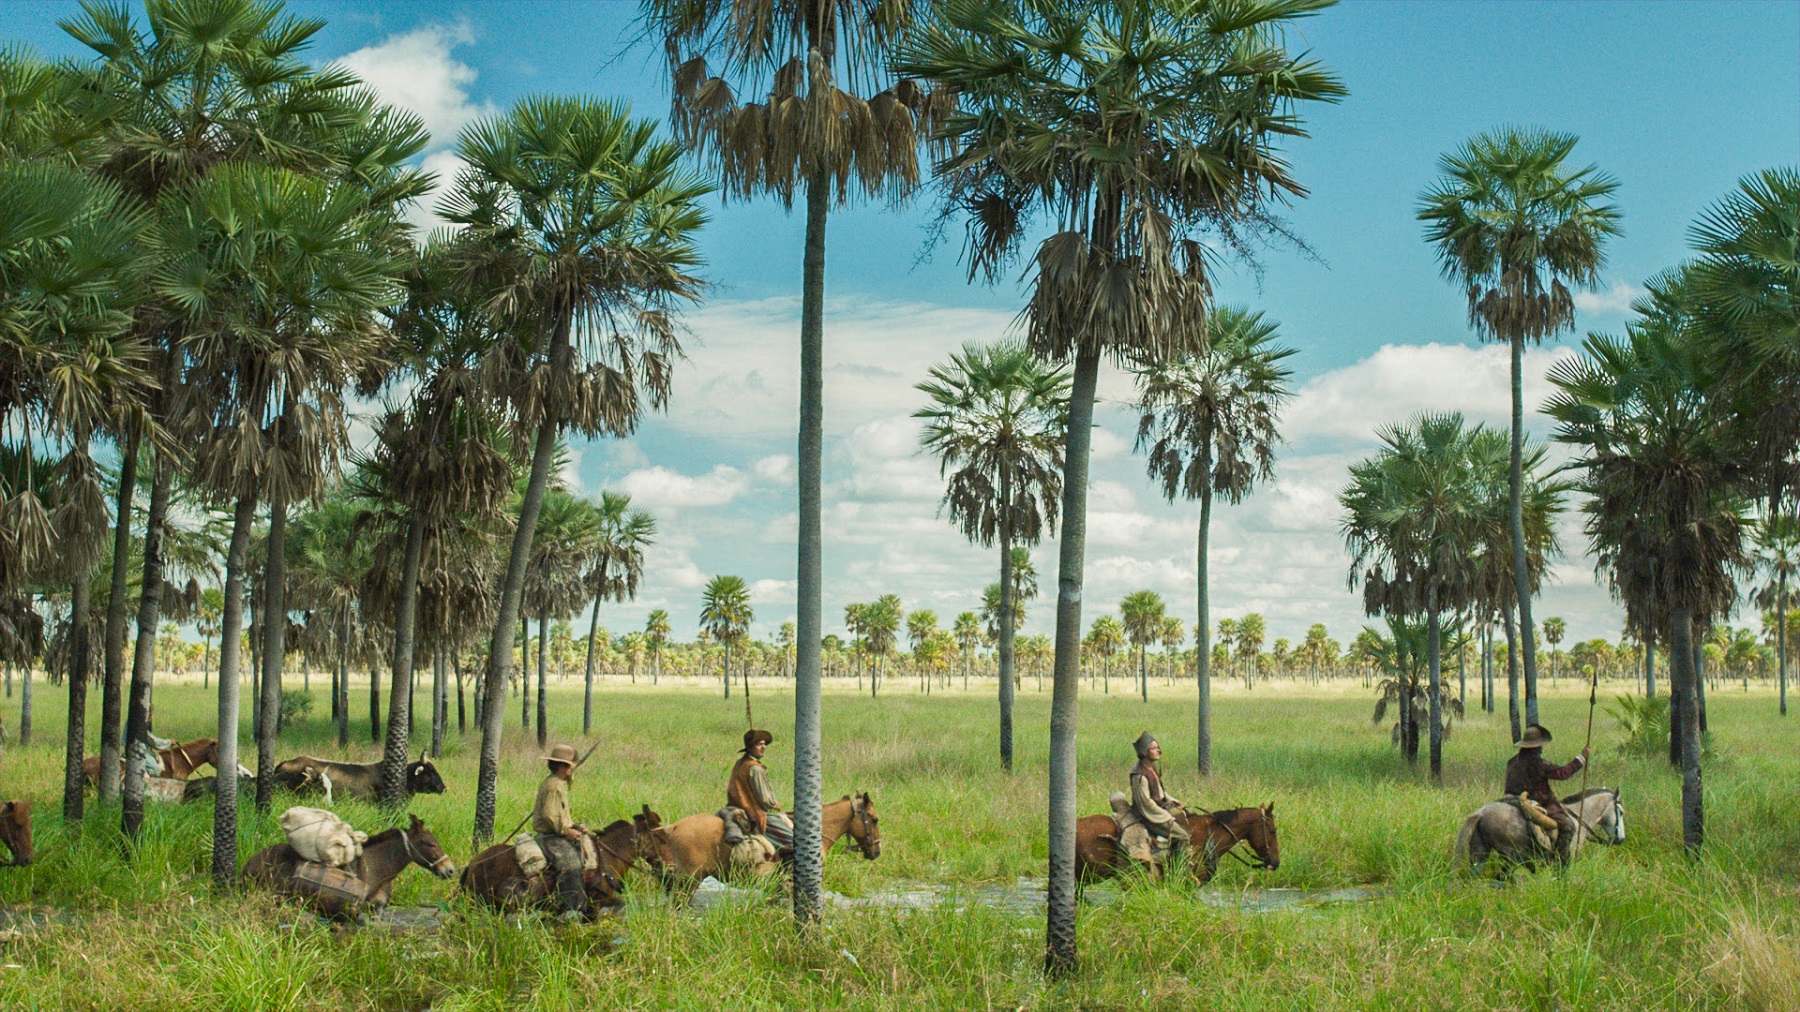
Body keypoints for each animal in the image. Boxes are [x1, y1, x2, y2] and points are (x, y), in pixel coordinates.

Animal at [241, 806, 457, 918]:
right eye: (430, 843)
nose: (450, 870)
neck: (375, 868)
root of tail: (248, 864)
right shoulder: (353, 909)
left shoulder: (378, 908)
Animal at [1454, 785, 1627, 871]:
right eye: (1621, 812)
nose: (1621, 839)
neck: (1578, 818)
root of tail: (1481, 813)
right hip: (1512, 856)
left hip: (1480, 853)